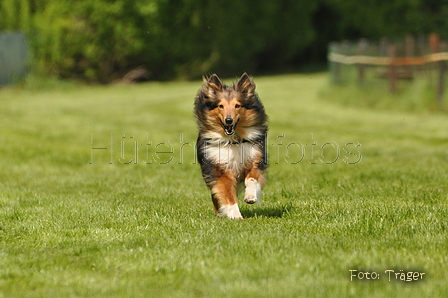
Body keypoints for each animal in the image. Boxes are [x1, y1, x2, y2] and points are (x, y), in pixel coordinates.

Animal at [194, 73, 268, 219]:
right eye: (220, 106)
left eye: (237, 105)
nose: (229, 120)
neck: (233, 140)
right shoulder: (220, 169)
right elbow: (227, 195)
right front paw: (235, 215)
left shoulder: (255, 159)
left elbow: (252, 179)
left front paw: (250, 197)